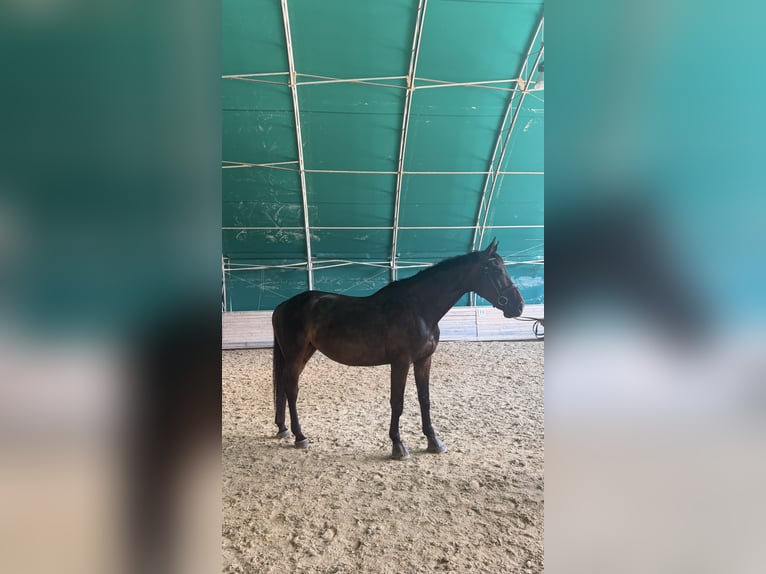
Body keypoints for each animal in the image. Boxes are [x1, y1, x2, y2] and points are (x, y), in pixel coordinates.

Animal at [271, 239, 524, 460]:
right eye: (494, 269)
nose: (518, 306)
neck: (418, 309)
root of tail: (283, 305)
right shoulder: (401, 362)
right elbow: (397, 402)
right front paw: (398, 444)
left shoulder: (424, 360)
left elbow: (425, 399)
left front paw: (433, 440)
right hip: (295, 355)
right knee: (292, 389)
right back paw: (300, 436)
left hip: (305, 353)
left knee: (285, 387)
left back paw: (284, 429)